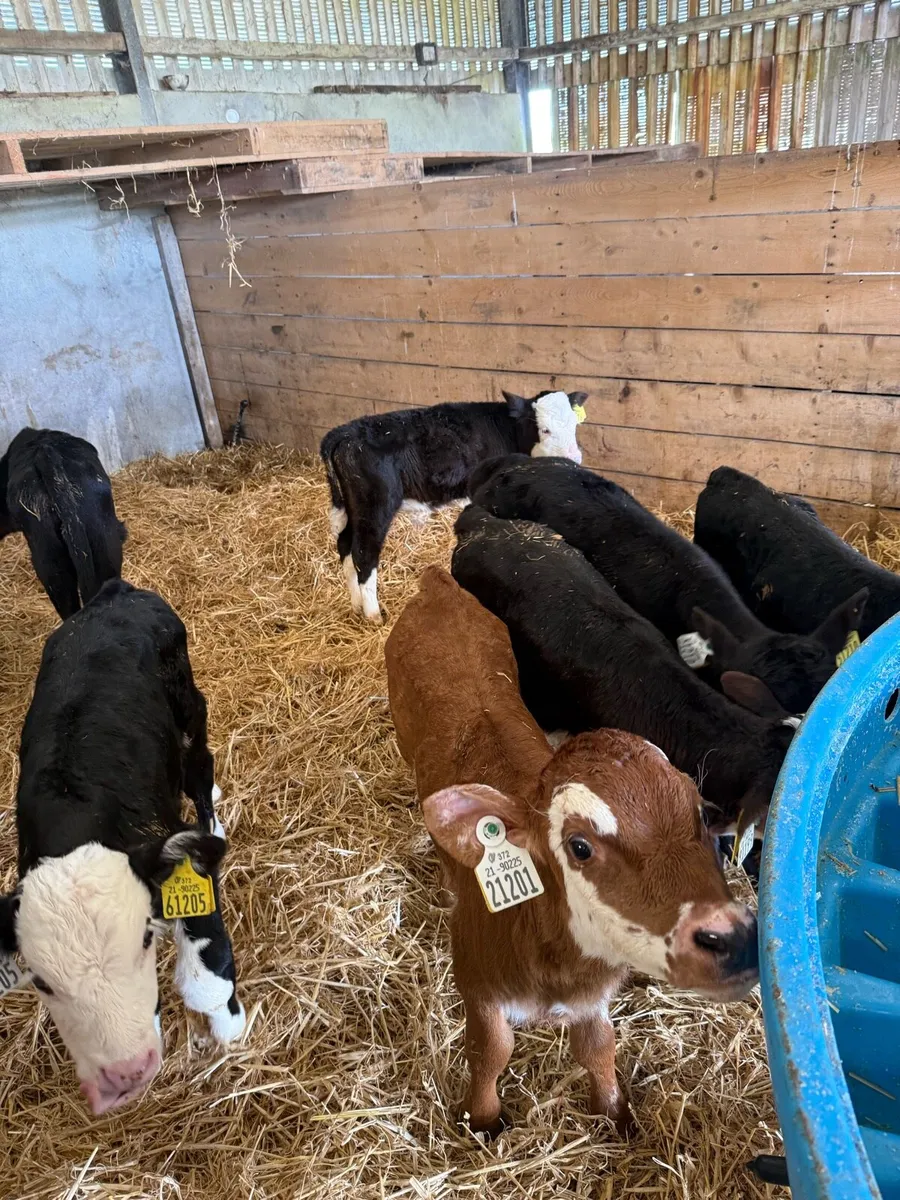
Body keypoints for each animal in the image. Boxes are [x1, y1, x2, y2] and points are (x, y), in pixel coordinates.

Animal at [0, 580, 244, 1115]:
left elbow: (205, 982)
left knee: (200, 769)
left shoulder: (177, 854)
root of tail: (115, 592)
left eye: (145, 941)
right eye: (41, 982)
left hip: (190, 711)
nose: (126, 1073)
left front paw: (229, 1027)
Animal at [321, 390, 587, 624]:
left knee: (345, 546)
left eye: (574, 426)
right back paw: (373, 614)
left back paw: (356, 605)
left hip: (350, 507)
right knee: (364, 554)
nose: (574, 459)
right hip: (374, 508)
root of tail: (343, 433)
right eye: (545, 429)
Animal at [385, 566, 757, 1138]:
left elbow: (598, 1048)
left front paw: (615, 1113)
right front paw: (482, 1118)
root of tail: (435, 584)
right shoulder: (476, 980)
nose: (730, 937)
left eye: (699, 814)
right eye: (579, 847)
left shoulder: (590, 998)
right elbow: (490, 1050)